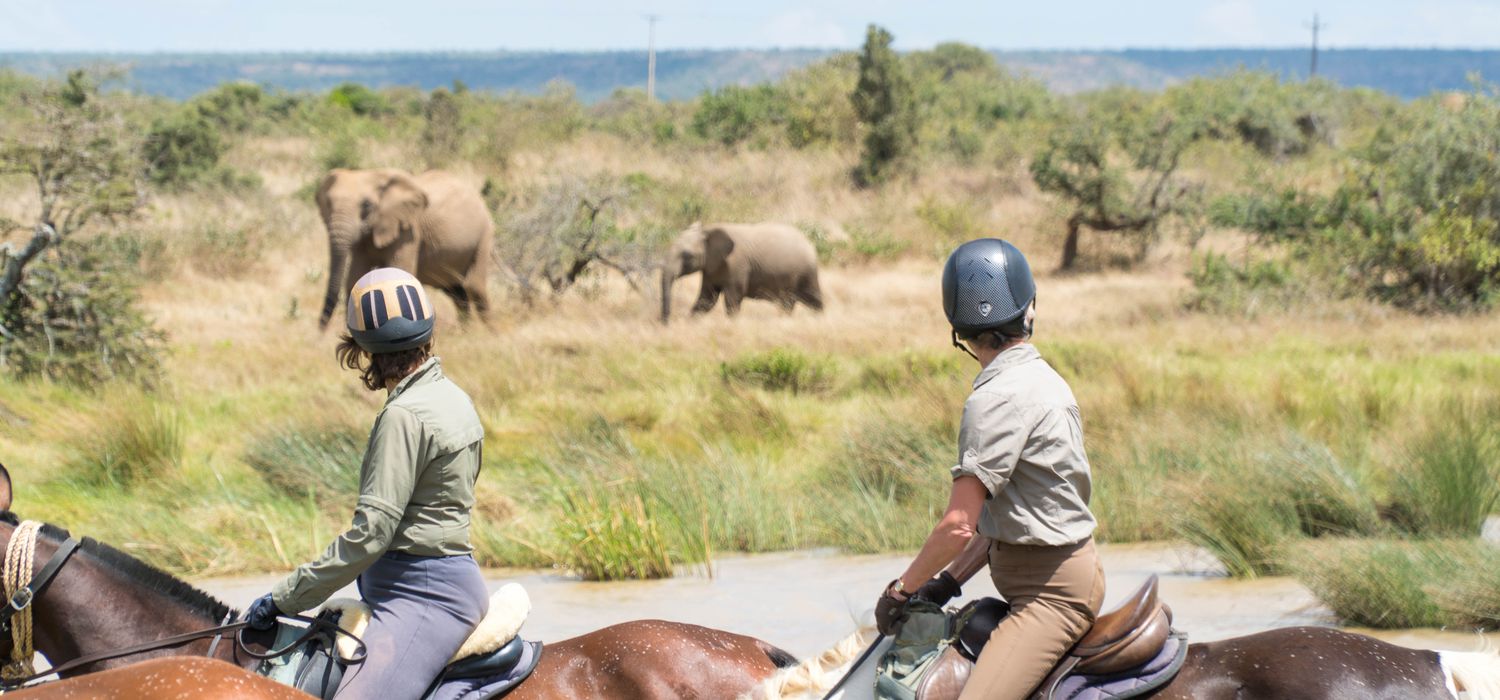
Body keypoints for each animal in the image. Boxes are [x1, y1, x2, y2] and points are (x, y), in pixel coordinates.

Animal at [315, 169, 492, 328]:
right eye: (328, 203)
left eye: (366, 205)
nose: (320, 333)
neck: (374, 174)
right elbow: (355, 280)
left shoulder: (409, 231)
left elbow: (398, 273)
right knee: (456, 292)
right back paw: (466, 332)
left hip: (484, 233)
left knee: (474, 286)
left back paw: (488, 333)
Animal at [657, 221, 822, 323]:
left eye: (687, 255)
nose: (665, 323)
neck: (708, 230)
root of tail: (809, 242)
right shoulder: (711, 267)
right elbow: (706, 300)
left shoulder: (737, 265)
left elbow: (732, 300)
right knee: (789, 302)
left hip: (806, 271)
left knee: (813, 299)